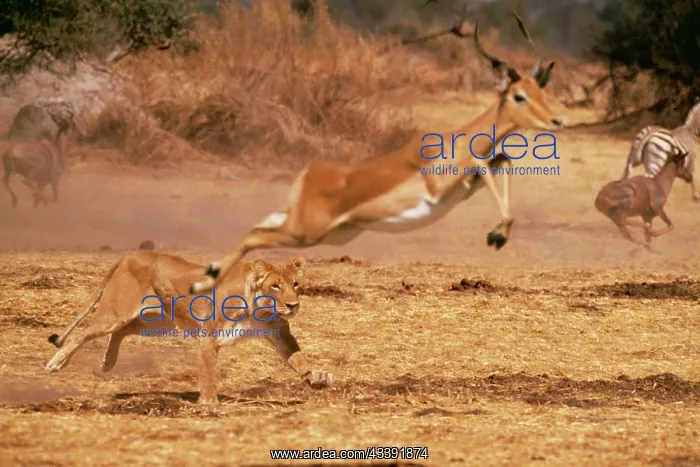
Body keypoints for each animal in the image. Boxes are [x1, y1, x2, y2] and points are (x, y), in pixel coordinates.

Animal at [44, 251, 331, 404]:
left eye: (295, 284)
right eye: (275, 286)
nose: (293, 305)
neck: (259, 308)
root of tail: (131, 254)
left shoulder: (279, 331)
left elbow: (297, 358)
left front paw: (316, 378)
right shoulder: (209, 336)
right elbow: (208, 372)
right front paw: (209, 403)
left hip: (156, 322)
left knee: (120, 332)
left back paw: (107, 363)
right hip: (116, 313)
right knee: (84, 333)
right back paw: (56, 363)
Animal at [190, 12, 566, 295]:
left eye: (540, 91)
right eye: (518, 95)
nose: (557, 120)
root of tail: (309, 173)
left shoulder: (465, 186)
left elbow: (502, 159)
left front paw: (498, 234)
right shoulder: (442, 187)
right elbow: (486, 164)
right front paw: (496, 236)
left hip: (325, 232)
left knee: (257, 226)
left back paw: (209, 275)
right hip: (305, 233)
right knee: (255, 234)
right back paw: (200, 286)